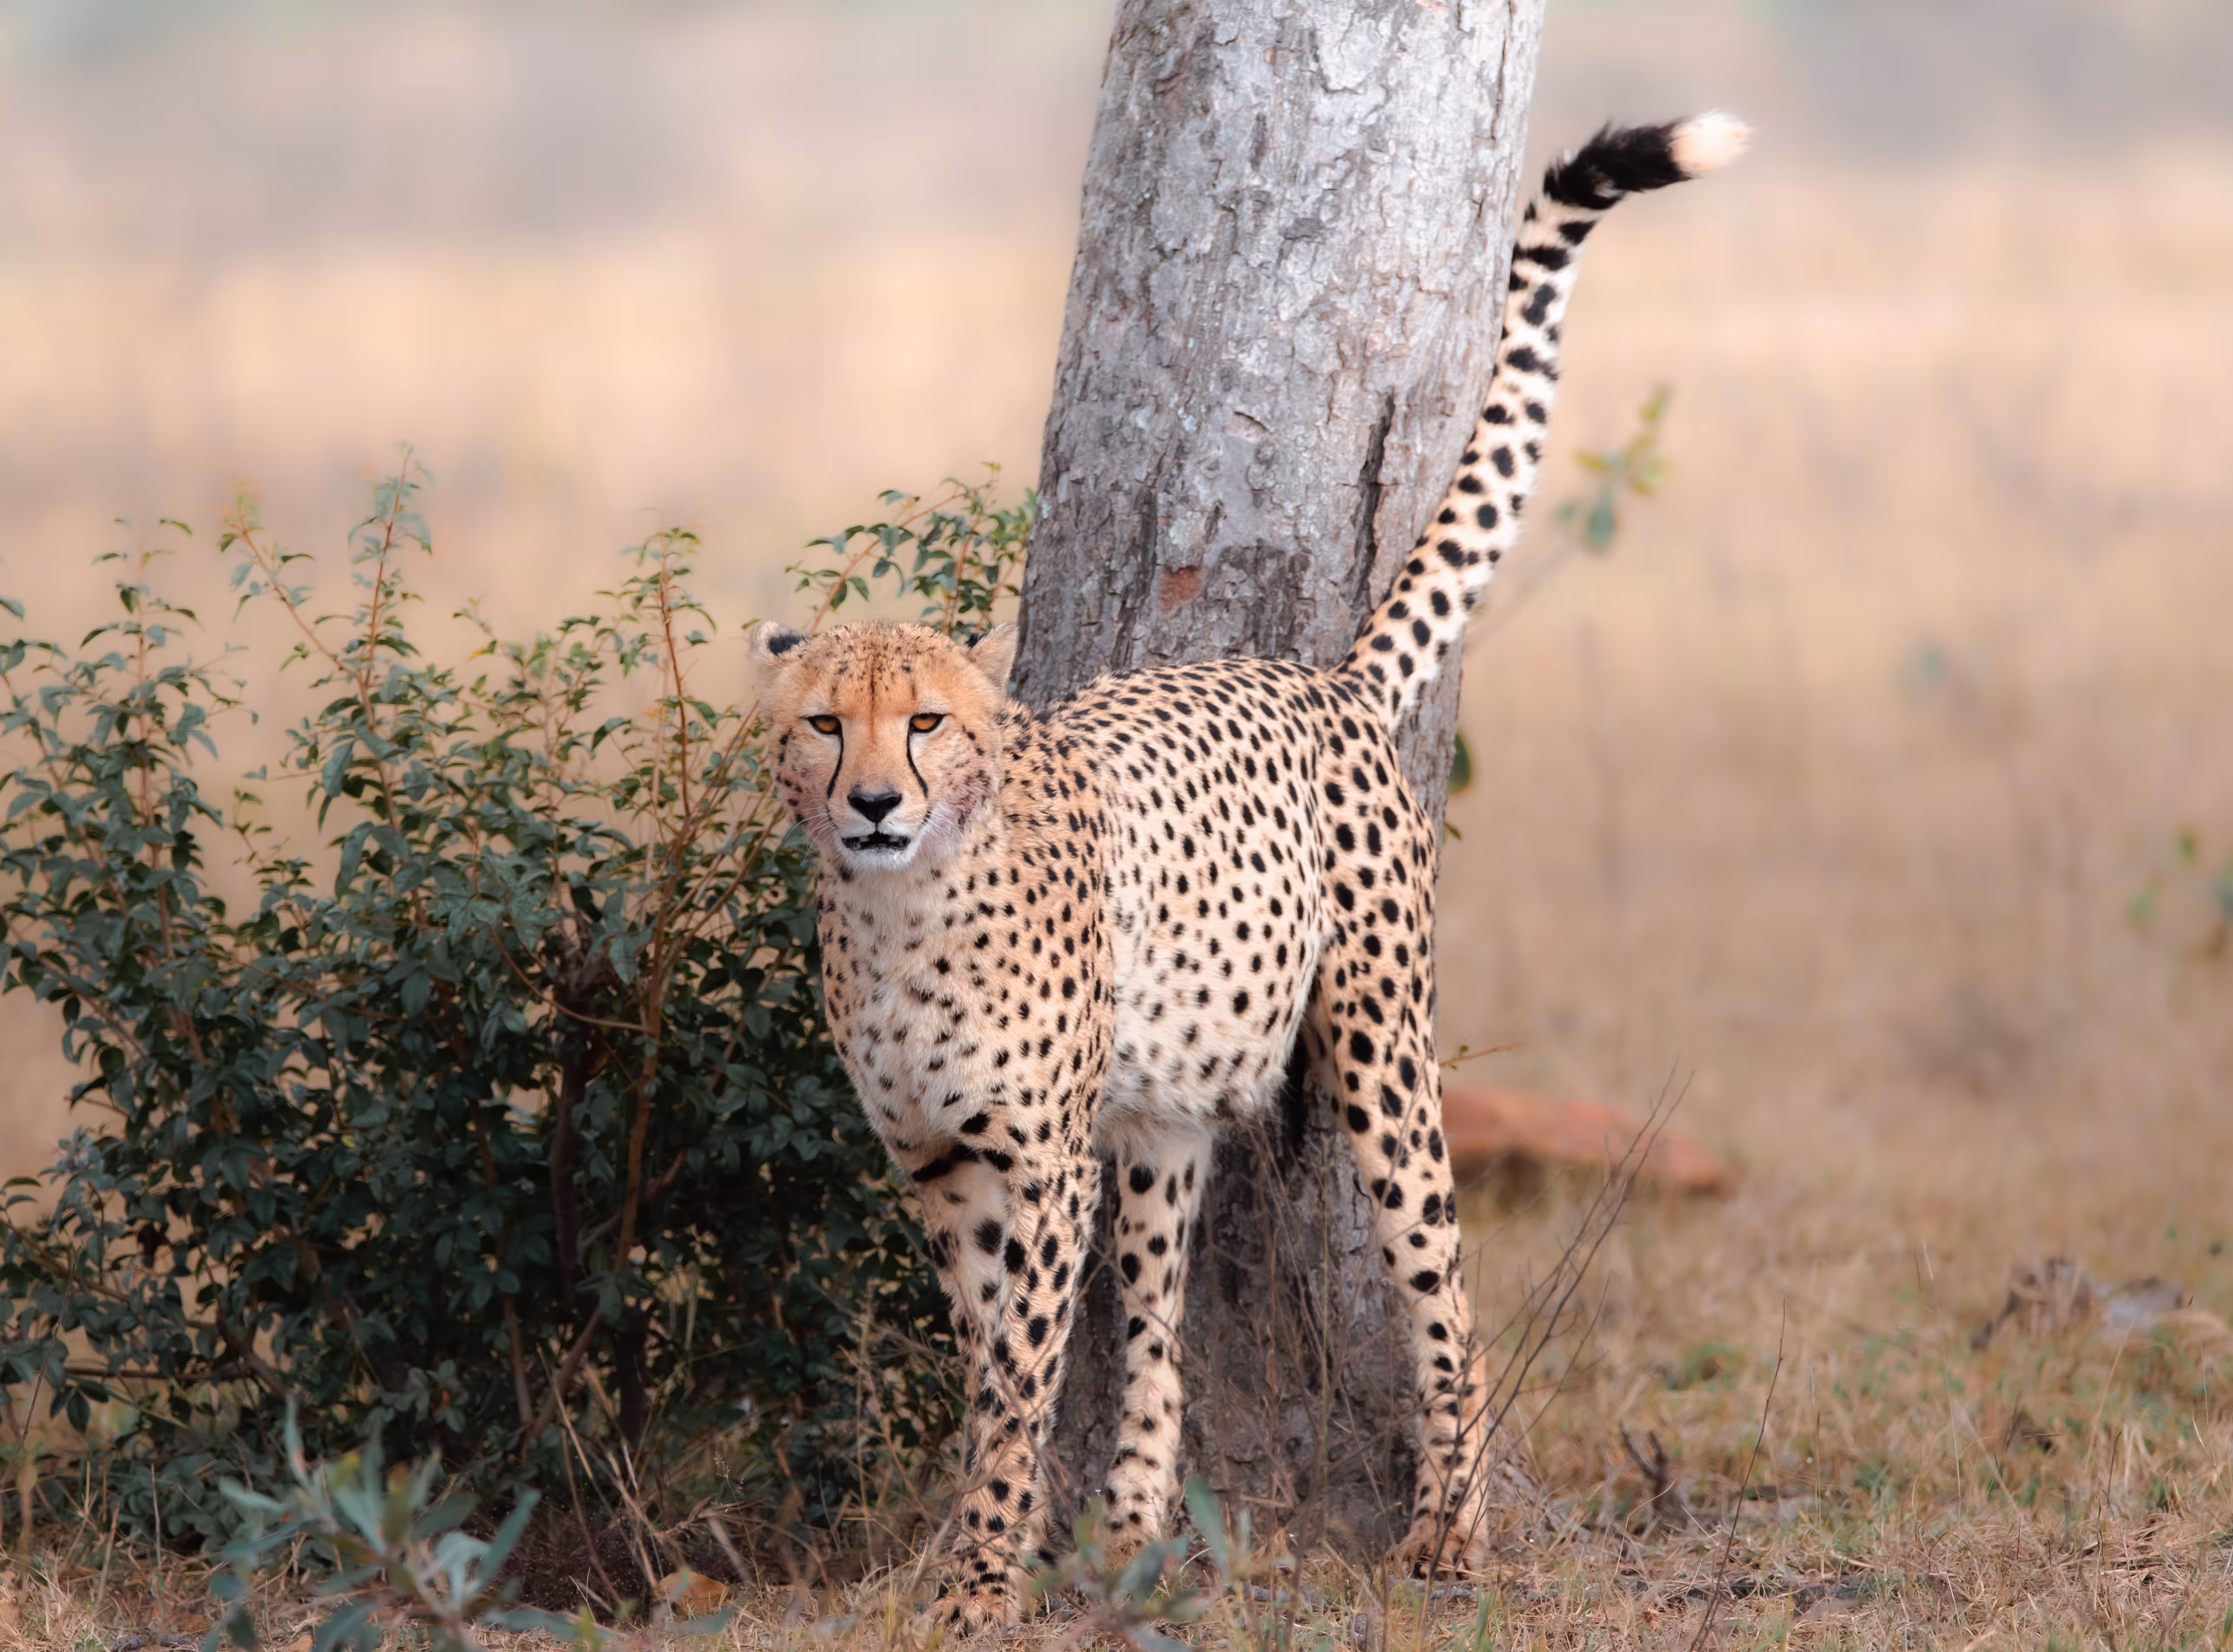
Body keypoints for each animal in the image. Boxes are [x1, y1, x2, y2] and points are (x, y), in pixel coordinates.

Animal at [746, 113, 1747, 1633]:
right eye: (822, 723)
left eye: (922, 723)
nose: (870, 804)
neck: (903, 906)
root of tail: (1317, 674)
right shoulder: (935, 1161)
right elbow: (992, 1369)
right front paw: (995, 1545)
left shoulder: (1037, 1163)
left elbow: (1017, 1379)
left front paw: (981, 1581)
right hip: (1163, 1120)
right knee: (1160, 1324)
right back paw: (1128, 1532)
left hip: (1382, 1054)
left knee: (1446, 1288)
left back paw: (1448, 1534)